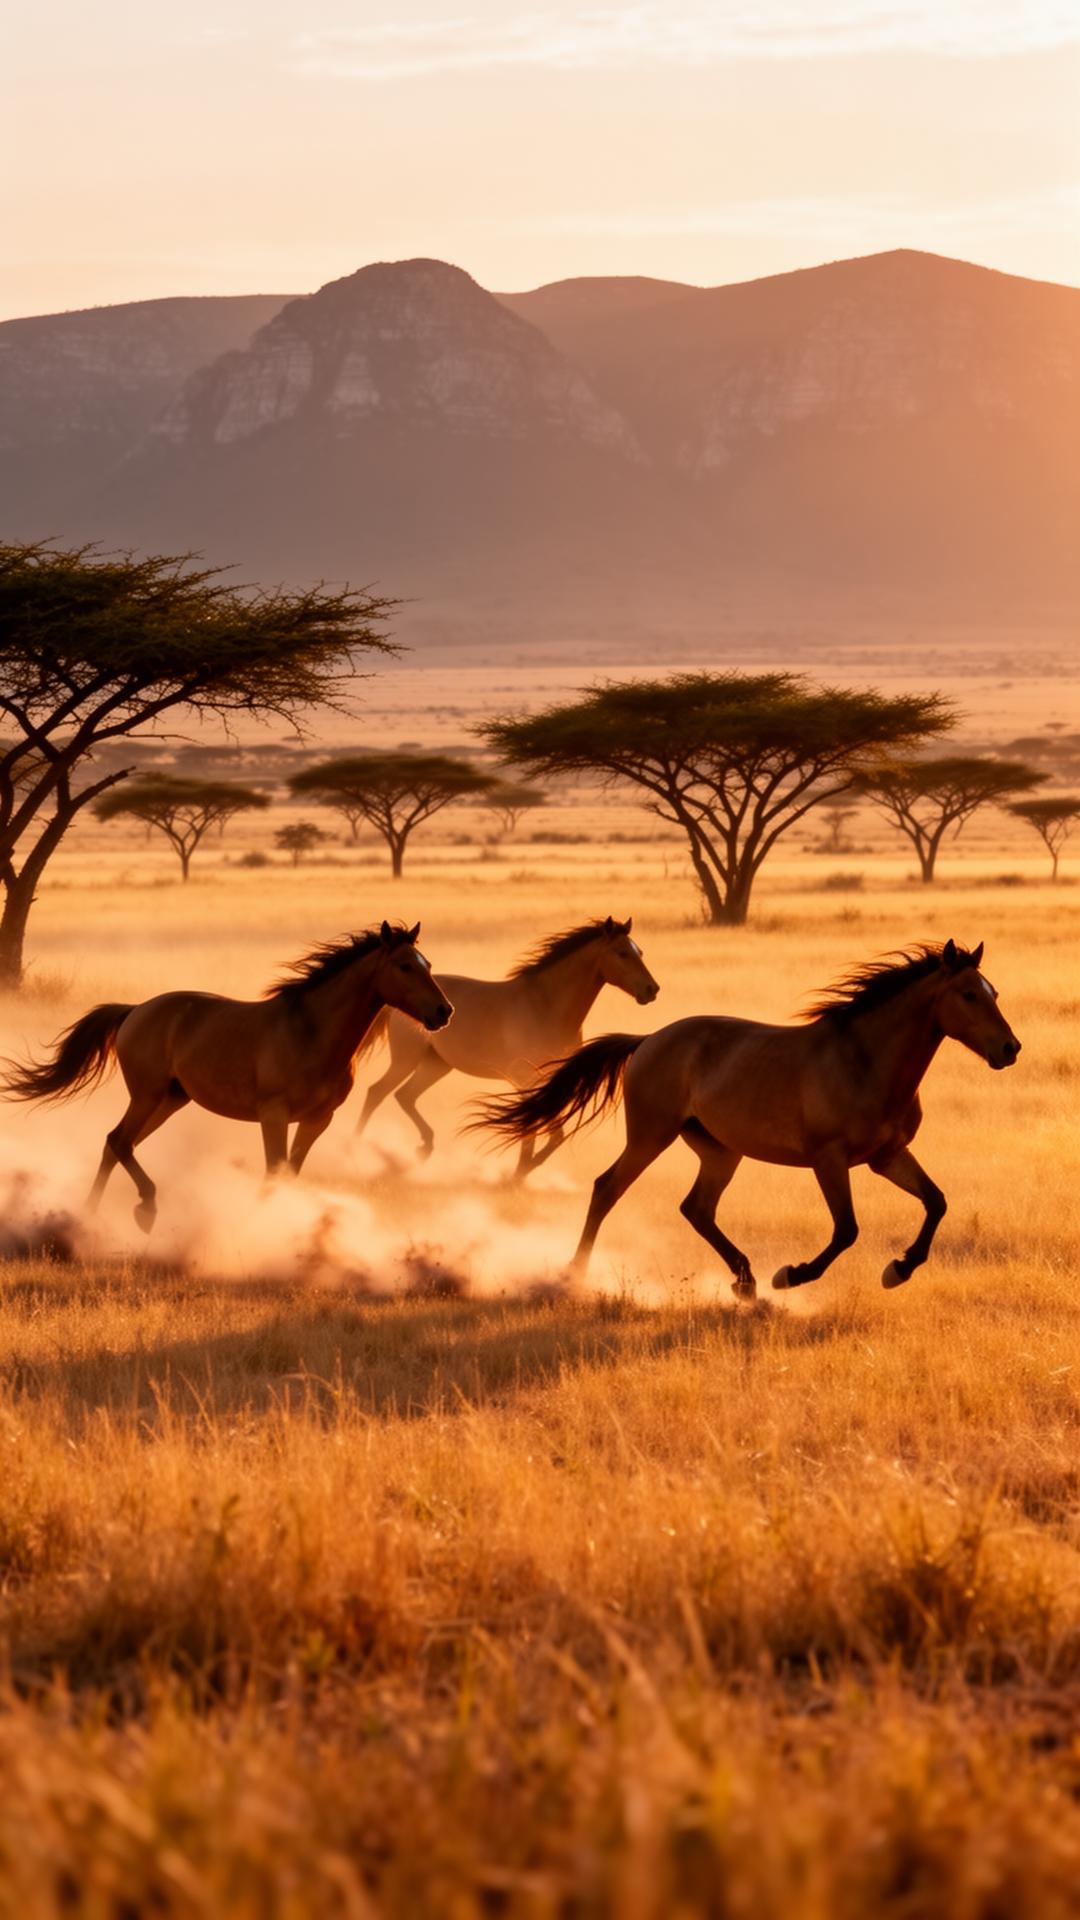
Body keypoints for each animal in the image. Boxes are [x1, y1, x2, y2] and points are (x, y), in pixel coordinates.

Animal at [2, 922, 453, 1232]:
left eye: (428, 965)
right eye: (404, 966)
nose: (443, 1011)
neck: (312, 1031)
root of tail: (134, 1011)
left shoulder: (316, 1120)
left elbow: (291, 1174)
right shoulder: (274, 1115)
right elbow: (274, 1173)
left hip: (170, 1100)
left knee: (117, 1144)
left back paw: (95, 1216)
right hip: (147, 1096)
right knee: (119, 1141)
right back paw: (141, 1208)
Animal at [357, 916, 659, 1179]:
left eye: (640, 952)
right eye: (622, 953)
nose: (651, 990)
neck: (546, 1006)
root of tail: (390, 1003)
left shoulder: (551, 1081)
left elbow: (554, 1133)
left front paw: (525, 1169)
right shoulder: (527, 1079)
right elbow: (534, 1128)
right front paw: (519, 1172)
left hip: (436, 1065)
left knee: (405, 1096)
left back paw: (424, 1148)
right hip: (406, 1059)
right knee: (377, 1093)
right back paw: (356, 1146)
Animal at [477, 940, 1019, 1295]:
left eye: (995, 992)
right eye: (969, 994)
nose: (1009, 1049)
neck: (865, 1061)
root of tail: (648, 1040)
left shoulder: (887, 1156)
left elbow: (937, 1202)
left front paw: (899, 1269)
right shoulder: (829, 1160)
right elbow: (846, 1230)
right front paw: (793, 1275)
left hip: (720, 1151)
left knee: (696, 1208)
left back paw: (745, 1280)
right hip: (651, 1136)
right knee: (608, 1188)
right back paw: (576, 1274)